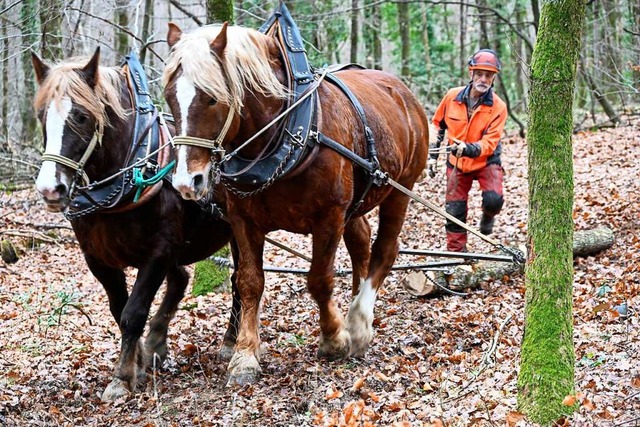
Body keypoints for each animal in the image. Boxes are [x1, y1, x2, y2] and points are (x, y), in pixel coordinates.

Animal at [30, 49, 240, 402]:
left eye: (82, 117)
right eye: (42, 115)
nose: (50, 189)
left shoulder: (158, 251)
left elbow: (133, 313)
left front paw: (122, 377)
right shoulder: (97, 259)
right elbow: (119, 309)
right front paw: (139, 359)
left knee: (241, 280)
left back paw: (230, 341)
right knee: (181, 280)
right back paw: (156, 343)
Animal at [162, 21, 428, 386]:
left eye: (212, 98)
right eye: (169, 97)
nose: (187, 182)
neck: (285, 133)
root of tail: (403, 91)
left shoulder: (329, 216)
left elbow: (319, 279)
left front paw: (334, 338)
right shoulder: (243, 220)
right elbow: (249, 282)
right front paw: (245, 356)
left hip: (401, 188)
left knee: (385, 248)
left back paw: (359, 321)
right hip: (357, 202)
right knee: (361, 242)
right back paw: (358, 305)